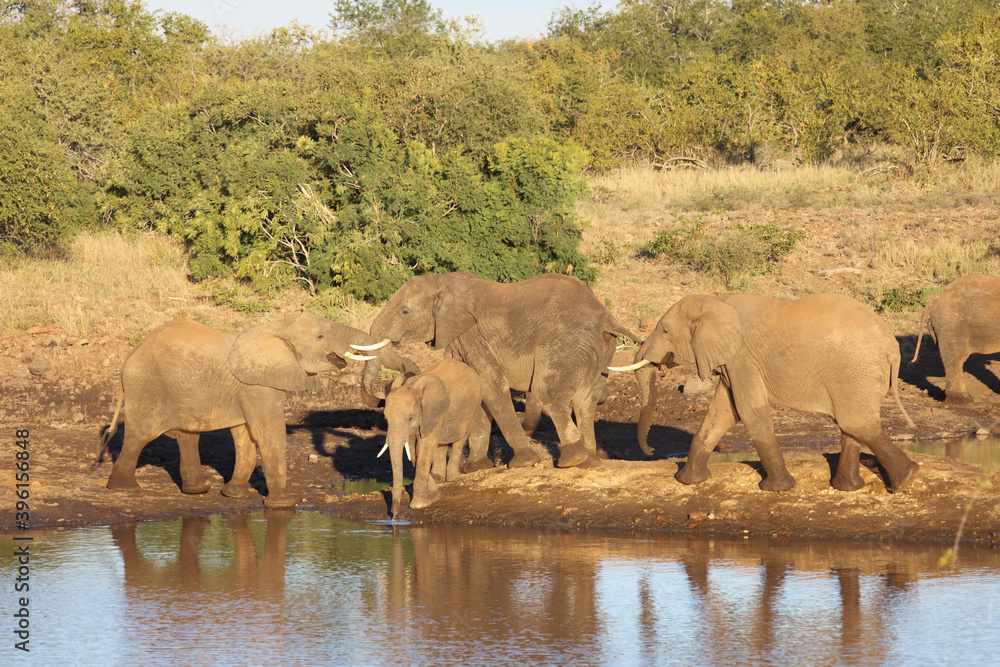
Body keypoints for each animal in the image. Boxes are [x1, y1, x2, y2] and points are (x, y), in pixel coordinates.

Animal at [102, 312, 419, 508]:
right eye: (319, 337)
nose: (403, 378)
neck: (277, 328)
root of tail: (128, 357)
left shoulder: (248, 387)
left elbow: (245, 436)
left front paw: (234, 496)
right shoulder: (258, 385)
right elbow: (268, 432)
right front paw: (283, 505)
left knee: (187, 435)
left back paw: (197, 491)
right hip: (147, 384)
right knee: (140, 434)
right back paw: (123, 490)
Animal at [367, 272, 638, 469]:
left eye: (405, 311)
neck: (445, 282)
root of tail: (607, 317)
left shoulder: (474, 336)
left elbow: (490, 387)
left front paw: (524, 463)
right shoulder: (461, 338)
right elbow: (477, 390)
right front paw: (476, 469)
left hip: (565, 343)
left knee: (548, 393)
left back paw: (571, 460)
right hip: (598, 349)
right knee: (585, 400)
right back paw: (589, 461)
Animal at [380, 358, 492, 515]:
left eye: (410, 418)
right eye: (386, 419)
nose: (394, 514)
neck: (410, 387)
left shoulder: (432, 413)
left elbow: (424, 449)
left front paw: (419, 505)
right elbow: (414, 451)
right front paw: (435, 496)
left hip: (475, 403)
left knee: (460, 440)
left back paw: (453, 478)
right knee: (441, 444)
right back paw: (439, 479)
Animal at [615, 293, 918, 493]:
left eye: (665, 330)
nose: (652, 450)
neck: (716, 301)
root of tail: (892, 348)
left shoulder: (742, 357)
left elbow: (748, 410)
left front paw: (778, 488)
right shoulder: (732, 362)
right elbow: (723, 412)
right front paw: (689, 481)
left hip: (855, 369)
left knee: (855, 422)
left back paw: (906, 480)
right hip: (856, 374)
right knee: (851, 423)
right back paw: (850, 488)